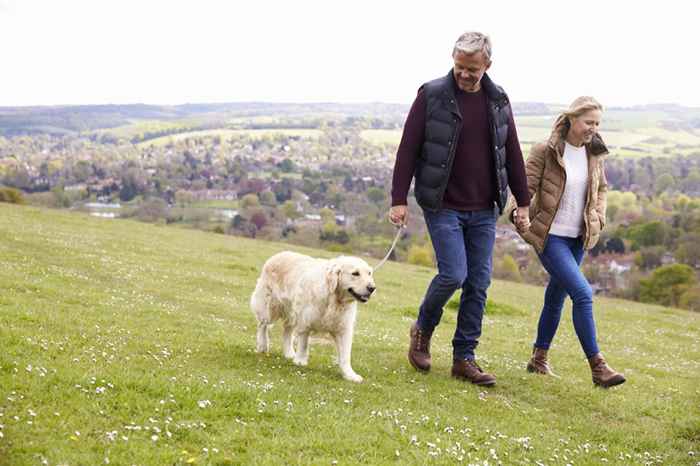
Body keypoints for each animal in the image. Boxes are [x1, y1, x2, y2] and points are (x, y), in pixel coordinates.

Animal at [249, 251, 374, 382]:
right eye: (355, 273)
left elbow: (345, 355)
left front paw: (350, 375)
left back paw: (289, 353)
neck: (334, 299)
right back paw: (263, 346)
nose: (372, 288)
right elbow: (304, 344)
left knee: (287, 331)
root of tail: (278, 254)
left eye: (369, 273)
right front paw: (300, 361)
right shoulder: (305, 321)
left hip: (292, 313)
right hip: (269, 307)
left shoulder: (343, 329)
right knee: (262, 325)